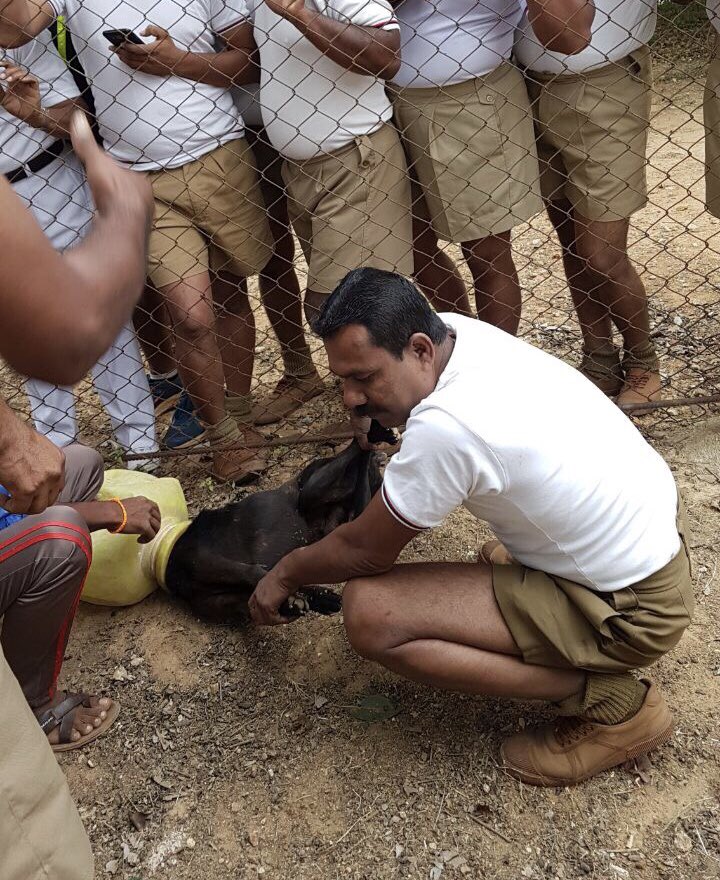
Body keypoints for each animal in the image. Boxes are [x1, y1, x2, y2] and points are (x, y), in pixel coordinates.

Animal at [163, 436, 388, 624]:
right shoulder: (225, 599)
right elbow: (274, 585)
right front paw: (307, 600)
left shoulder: (210, 561)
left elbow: (260, 576)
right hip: (323, 501)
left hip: (314, 490)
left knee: (355, 456)